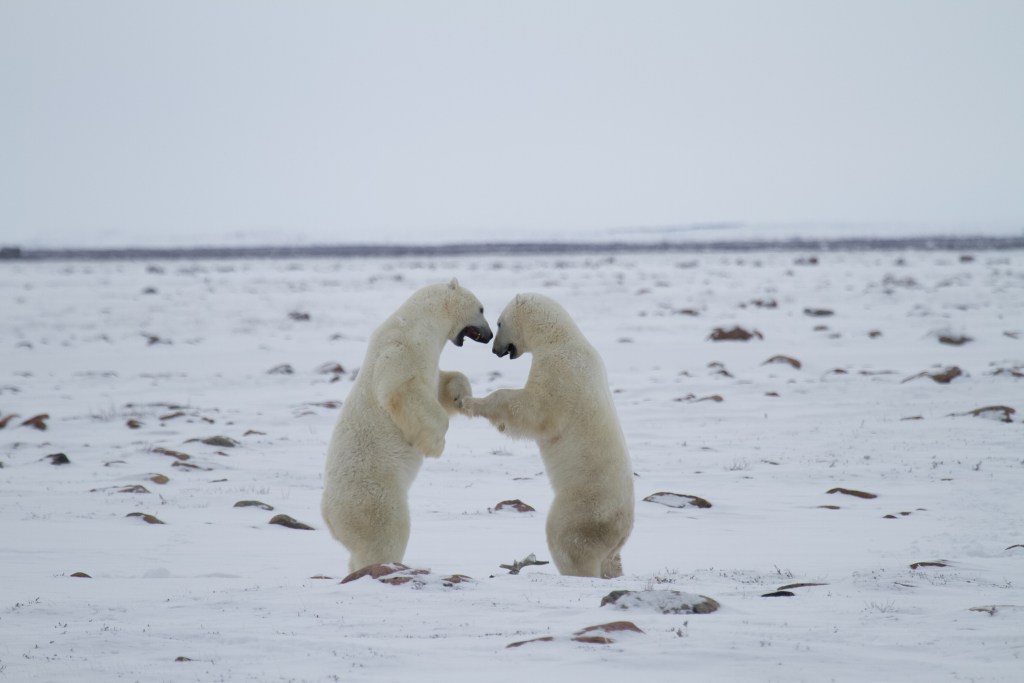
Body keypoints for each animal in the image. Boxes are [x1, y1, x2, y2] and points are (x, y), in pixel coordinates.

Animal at [321, 280, 493, 573]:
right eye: (481, 309)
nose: (490, 335)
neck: (419, 321)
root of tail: (327, 515)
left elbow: (441, 385)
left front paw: (461, 397)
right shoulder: (401, 349)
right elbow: (403, 389)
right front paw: (435, 444)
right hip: (374, 495)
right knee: (386, 532)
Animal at [458, 292, 630, 577]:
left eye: (500, 322)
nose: (494, 350)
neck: (560, 338)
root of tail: (622, 531)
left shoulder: (560, 370)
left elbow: (533, 409)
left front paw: (468, 401)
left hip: (582, 506)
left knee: (567, 539)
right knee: (611, 561)